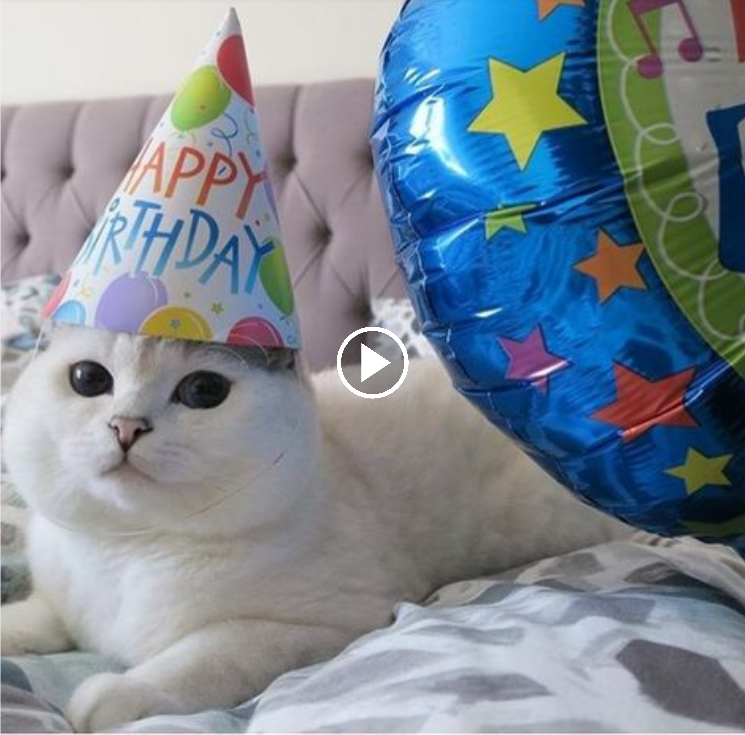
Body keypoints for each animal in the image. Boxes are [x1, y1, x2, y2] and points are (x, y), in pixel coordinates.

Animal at [1, 326, 628, 732]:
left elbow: (201, 658)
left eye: (203, 391)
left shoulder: (313, 624)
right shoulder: (64, 598)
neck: (126, 552)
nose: (127, 427)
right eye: (88, 379)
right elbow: (39, 619)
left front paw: (114, 694)